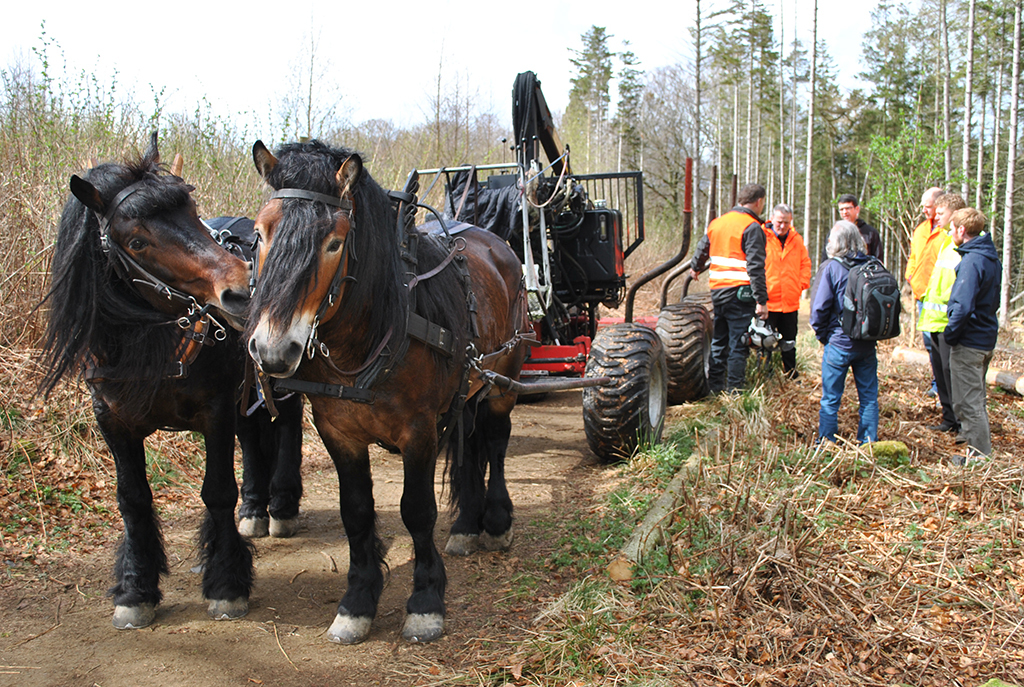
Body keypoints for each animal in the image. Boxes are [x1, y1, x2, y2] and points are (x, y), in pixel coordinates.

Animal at [39, 134, 260, 630]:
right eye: (137, 241)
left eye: (192, 212)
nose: (241, 291)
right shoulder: (112, 421)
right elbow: (133, 499)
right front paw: (135, 587)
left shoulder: (218, 410)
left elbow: (218, 491)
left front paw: (226, 582)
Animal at [245, 139, 528, 647]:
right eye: (259, 233)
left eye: (335, 242)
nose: (274, 350)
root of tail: (497, 243)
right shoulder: (338, 432)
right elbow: (356, 512)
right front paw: (357, 603)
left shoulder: (419, 430)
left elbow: (416, 510)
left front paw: (426, 601)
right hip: (468, 388)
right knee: (471, 443)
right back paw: (466, 525)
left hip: (502, 382)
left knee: (495, 444)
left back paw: (495, 521)